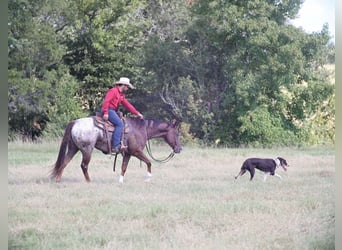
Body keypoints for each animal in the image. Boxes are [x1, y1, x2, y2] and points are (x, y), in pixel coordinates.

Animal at [49, 115, 182, 184]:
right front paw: (148, 178)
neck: (141, 129)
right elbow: (149, 162)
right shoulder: (136, 152)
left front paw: (120, 181)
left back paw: (58, 180)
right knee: (84, 165)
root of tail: (75, 122)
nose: (179, 148)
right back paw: (89, 181)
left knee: (64, 162)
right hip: (87, 150)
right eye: (176, 133)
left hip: (73, 148)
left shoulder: (128, 154)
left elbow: (123, 167)